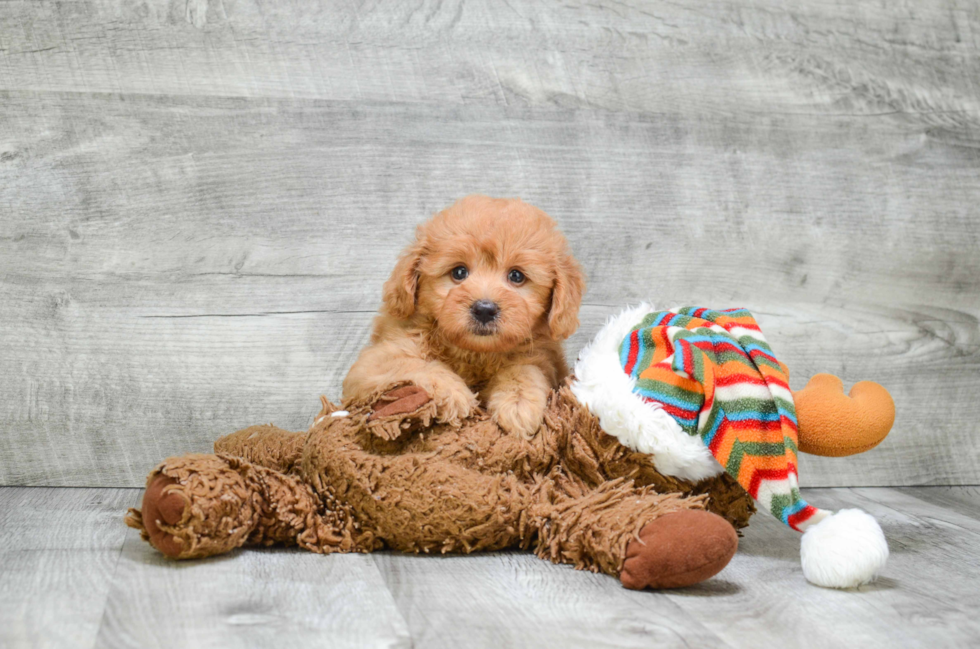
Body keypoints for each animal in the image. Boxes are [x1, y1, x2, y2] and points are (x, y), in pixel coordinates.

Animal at [342, 192, 580, 436]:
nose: (484, 309)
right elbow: (413, 364)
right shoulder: (374, 362)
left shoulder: (540, 356)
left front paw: (519, 404)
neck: (475, 353)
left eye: (516, 276)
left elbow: (524, 371)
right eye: (459, 272)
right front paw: (452, 393)